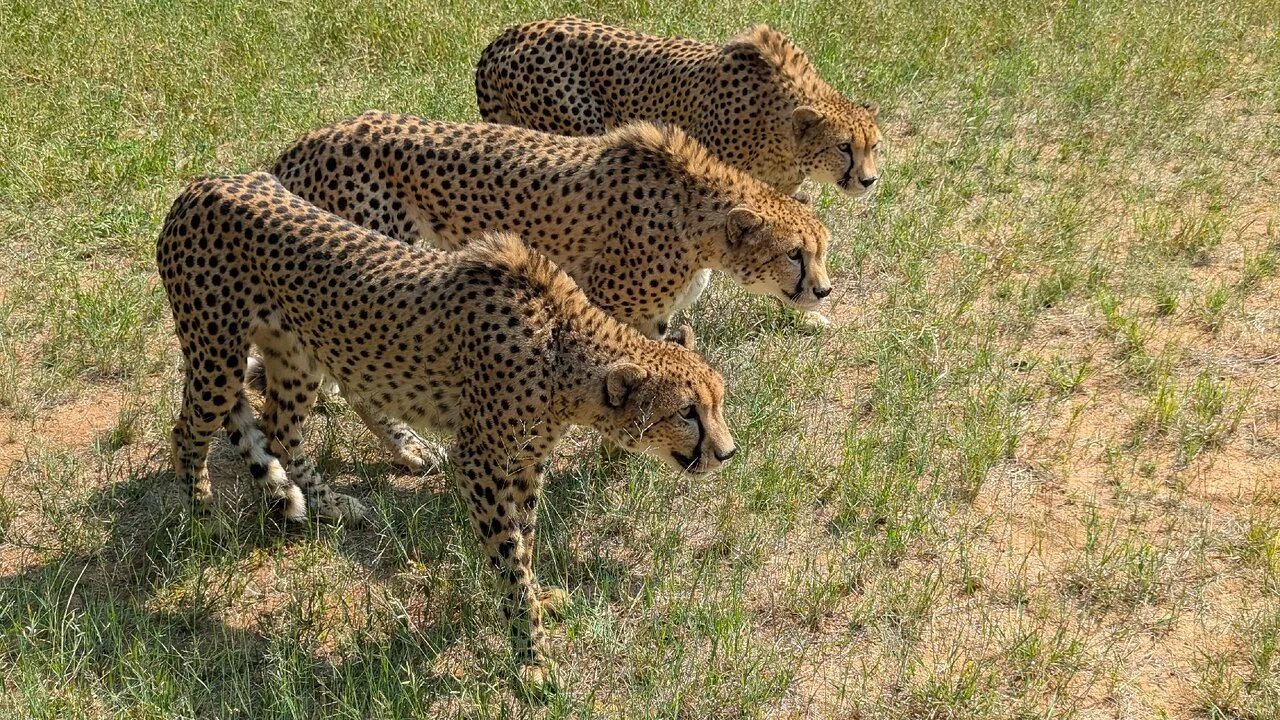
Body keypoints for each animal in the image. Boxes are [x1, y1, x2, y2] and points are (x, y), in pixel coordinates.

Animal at [156, 171, 736, 690]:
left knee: (278, 425)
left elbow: (525, 540)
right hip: (217, 355)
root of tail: (201, 185)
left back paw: (330, 503)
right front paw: (530, 658)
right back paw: (204, 520)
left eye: (719, 402)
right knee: (186, 429)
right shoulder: (479, 462)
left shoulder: (526, 461)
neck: (562, 349)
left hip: (295, 356)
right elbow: (509, 556)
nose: (728, 453)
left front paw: (540, 600)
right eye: (687, 412)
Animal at [267, 111, 829, 470]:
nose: (823, 290)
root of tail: (301, 147)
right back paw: (405, 448)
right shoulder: (608, 306)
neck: (695, 215)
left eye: (822, 249)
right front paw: (616, 451)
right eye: (794, 254)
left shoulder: (652, 318)